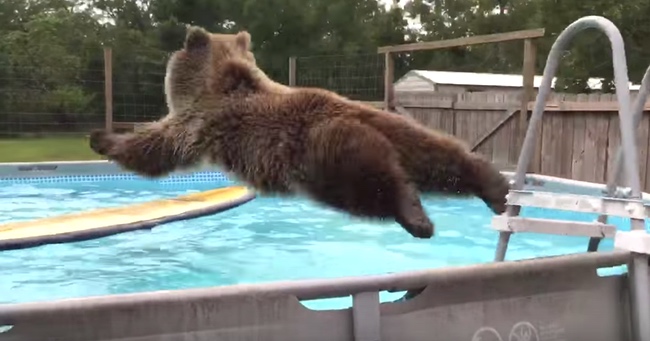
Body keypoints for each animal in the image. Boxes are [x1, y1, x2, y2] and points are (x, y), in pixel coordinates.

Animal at [88, 26, 508, 238]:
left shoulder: (199, 121)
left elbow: (156, 147)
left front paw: (103, 138)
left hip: (324, 157)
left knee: (375, 186)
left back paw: (417, 219)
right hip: (402, 131)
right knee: (443, 159)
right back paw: (495, 187)